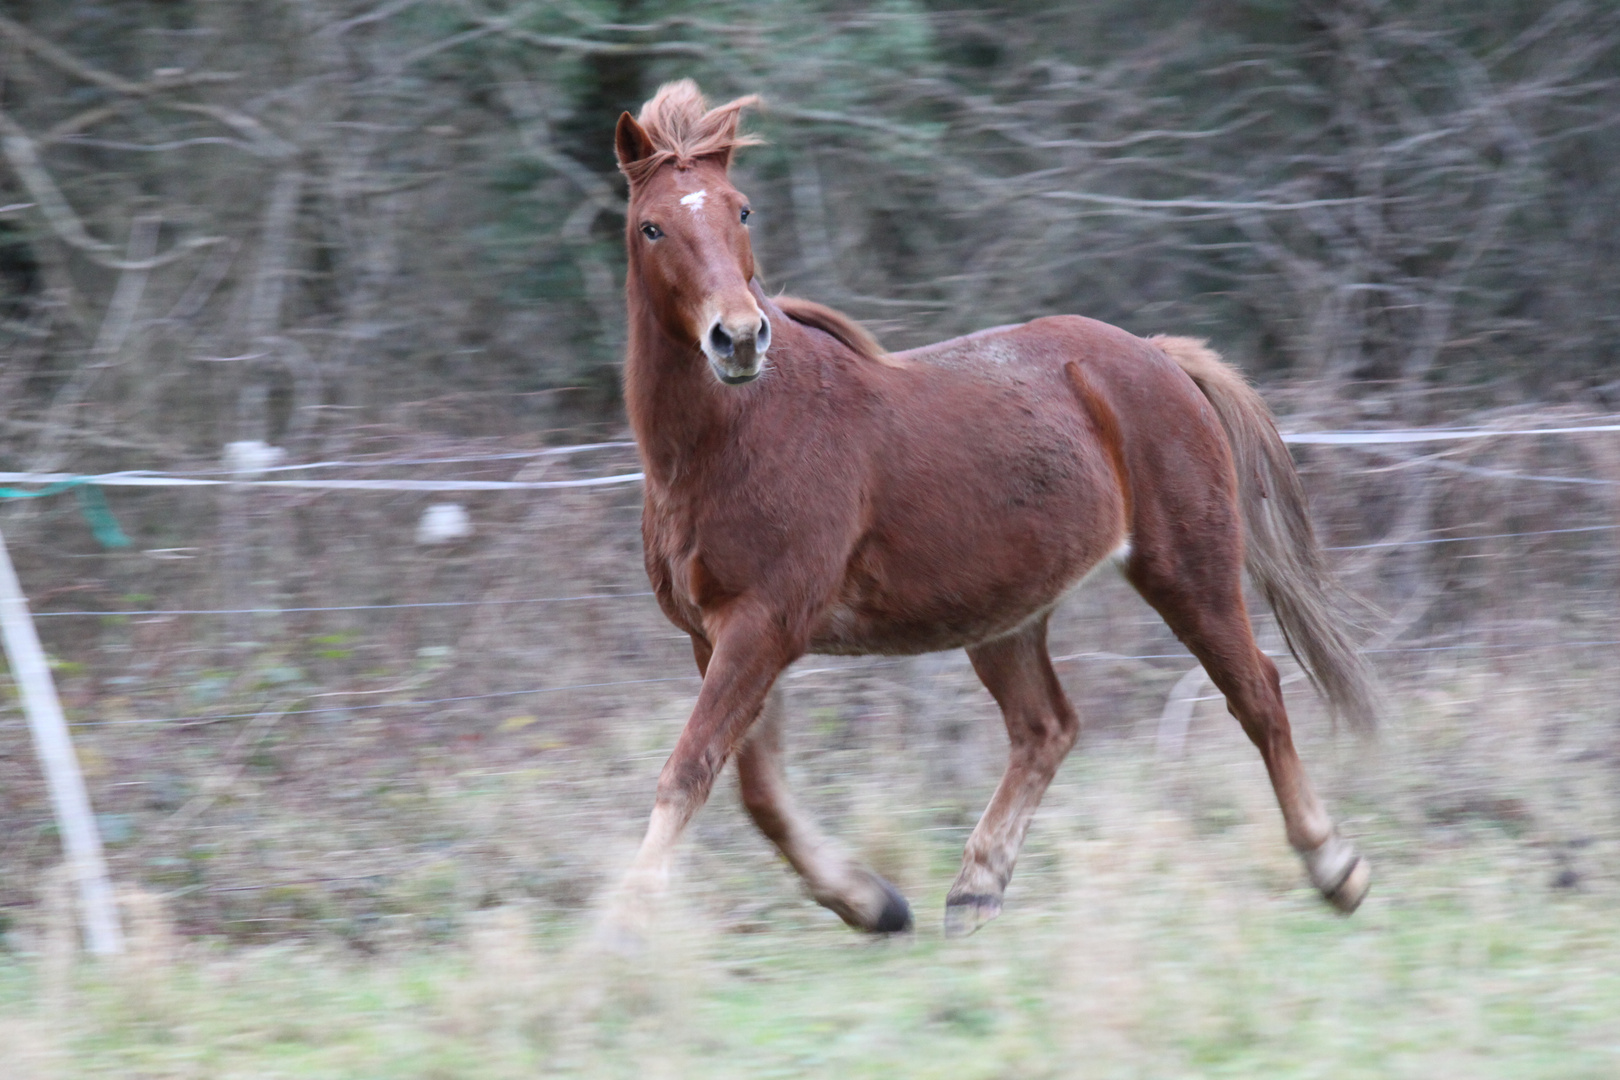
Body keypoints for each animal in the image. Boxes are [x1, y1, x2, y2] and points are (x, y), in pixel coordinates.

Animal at [609, 80, 1380, 939]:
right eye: (651, 226)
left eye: (741, 211)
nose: (738, 339)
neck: (733, 437)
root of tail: (1156, 356)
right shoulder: (715, 636)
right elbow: (757, 789)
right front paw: (872, 903)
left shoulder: (764, 624)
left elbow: (690, 769)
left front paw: (621, 929)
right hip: (1004, 615)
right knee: (1047, 727)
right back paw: (975, 890)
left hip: (1188, 570)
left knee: (1258, 693)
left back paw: (1335, 868)